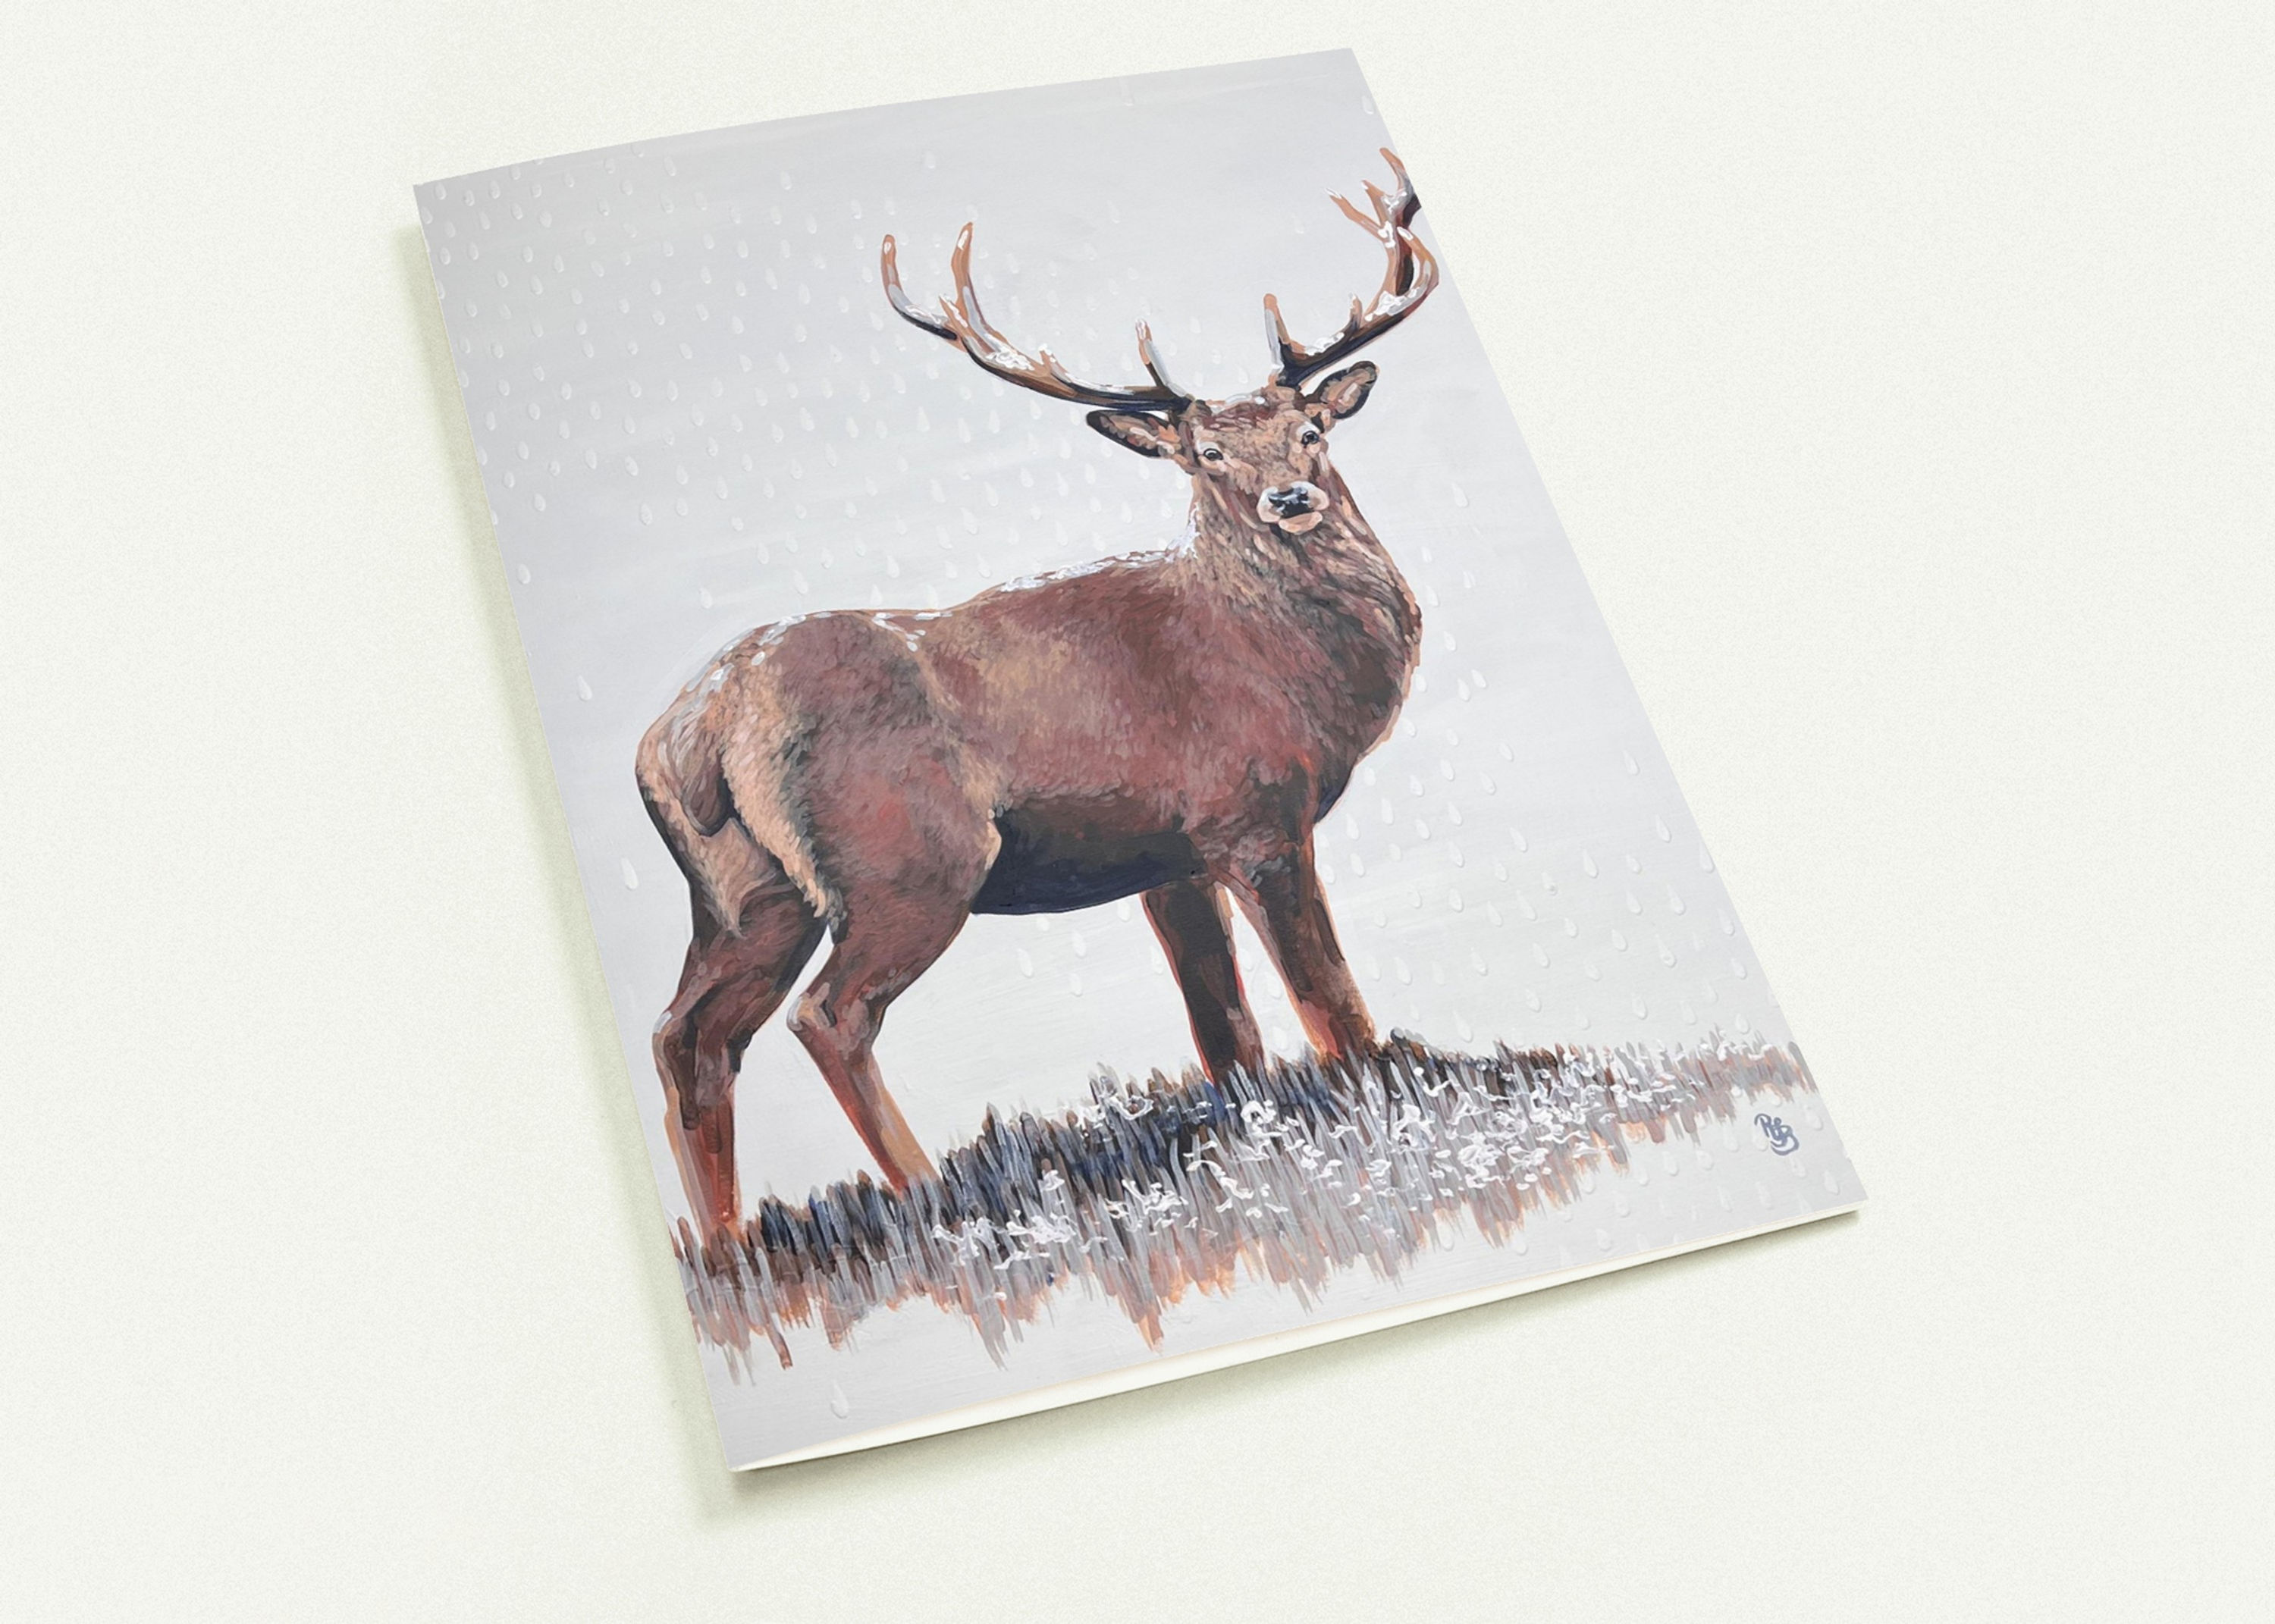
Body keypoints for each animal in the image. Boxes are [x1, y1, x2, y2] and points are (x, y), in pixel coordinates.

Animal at [637, 151, 1442, 1232]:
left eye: (1312, 428)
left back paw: (727, 1246)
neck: (1283, 667)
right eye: (1208, 454)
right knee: (829, 1014)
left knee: (690, 1035)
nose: (1291, 499)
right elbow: (1334, 1007)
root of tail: (696, 729)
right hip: (907, 861)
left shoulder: (1169, 855)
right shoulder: (1254, 814)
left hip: (740, 893)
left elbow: (1226, 1033)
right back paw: (938, 1203)